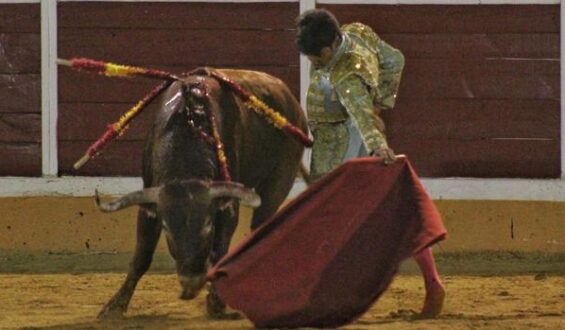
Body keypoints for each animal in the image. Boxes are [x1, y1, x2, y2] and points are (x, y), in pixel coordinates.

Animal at [97, 68, 308, 318]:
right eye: (167, 228)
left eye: (208, 224)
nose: (191, 283)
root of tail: (290, 100)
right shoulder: (149, 206)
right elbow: (142, 256)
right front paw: (114, 306)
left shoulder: (227, 204)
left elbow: (219, 251)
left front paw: (216, 301)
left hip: (279, 181)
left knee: (262, 225)